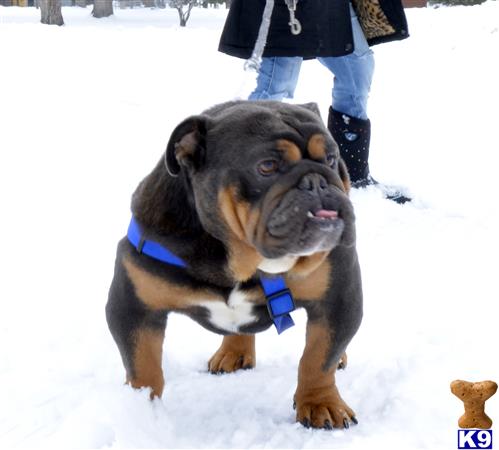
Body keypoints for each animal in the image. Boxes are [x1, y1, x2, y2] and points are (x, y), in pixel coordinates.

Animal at [106, 100, 364, 430]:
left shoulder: (339, 295)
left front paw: (321, 403)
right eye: (267, 166)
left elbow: (319, 356)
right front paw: (142, 415)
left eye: (331, 159)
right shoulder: (134, 305)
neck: (241, 260)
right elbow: (143, 366)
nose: (316, 181)